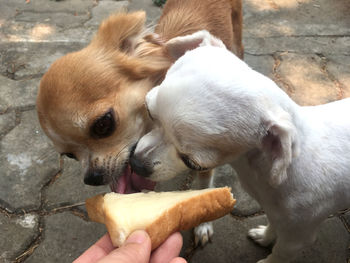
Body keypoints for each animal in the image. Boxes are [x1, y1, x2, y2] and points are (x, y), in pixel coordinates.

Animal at [129, 30, 350, 262]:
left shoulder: (297, 237)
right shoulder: (276, 215)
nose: (136, 164)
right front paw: (266, 237)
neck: (261, 175)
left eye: (193, 163)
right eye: (149, 111)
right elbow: (274, 226)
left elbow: (278, 254)